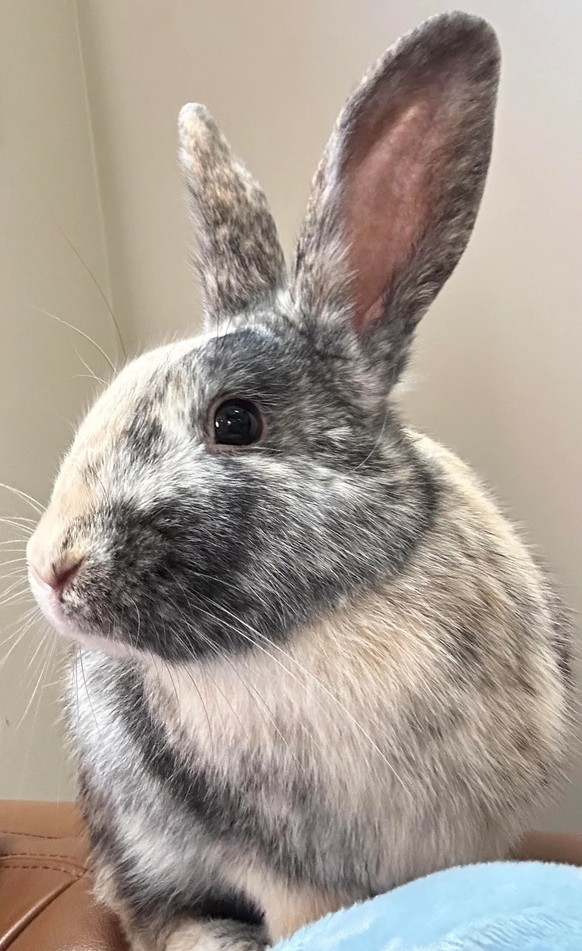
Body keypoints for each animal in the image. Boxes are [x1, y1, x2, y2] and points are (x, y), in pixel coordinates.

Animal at [26, 11, 573, 951]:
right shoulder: (274, 866)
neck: (330, 619)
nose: (49, 567)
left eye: (236, 421)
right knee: (146, 911)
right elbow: (304, 914)